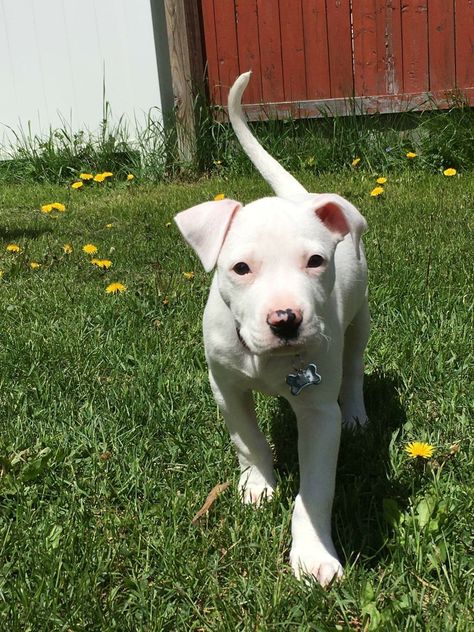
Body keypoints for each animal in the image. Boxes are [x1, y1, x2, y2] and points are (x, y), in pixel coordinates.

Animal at [175, 74, 370, 588]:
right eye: (241, 268)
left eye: (316, 261)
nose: (286, 319)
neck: (267, 358)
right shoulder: (224, 385)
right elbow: (247, 439)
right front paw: (259, 485)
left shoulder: (318, 411)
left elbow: (316, 490)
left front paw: (314, 555)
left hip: (360, 318)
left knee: (354, 368)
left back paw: (356, 412)